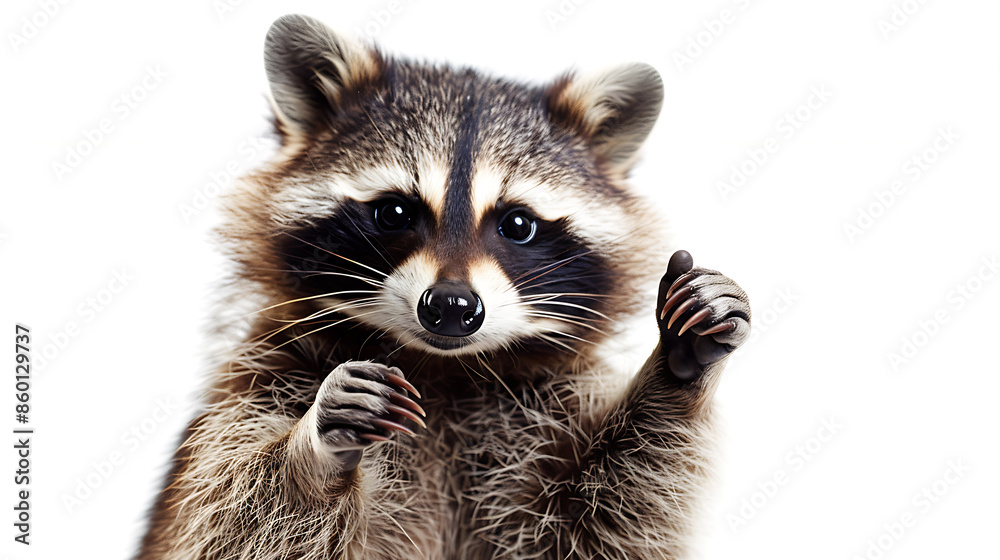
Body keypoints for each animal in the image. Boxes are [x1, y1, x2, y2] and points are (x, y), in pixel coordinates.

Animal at [138, 14, 750, 560]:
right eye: (393, 213)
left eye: (518, 224)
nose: (452, 307)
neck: (442, 369)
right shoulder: (259, 378)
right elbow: (228, 523)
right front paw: (311, 455)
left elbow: (598, 525)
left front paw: (678, 368)